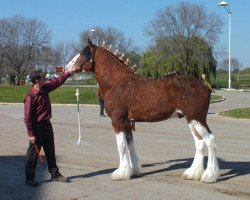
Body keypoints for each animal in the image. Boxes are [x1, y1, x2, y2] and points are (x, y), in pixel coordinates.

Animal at [71, 39, 220, 183]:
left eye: (83, 53)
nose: (68, 67)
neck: (117, 83)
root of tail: (206, 86)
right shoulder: (127, 122)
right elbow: (129, 144)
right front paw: (133, 171)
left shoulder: (117, 121)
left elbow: (121, 145)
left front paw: (120, 173)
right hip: (191, 119)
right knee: (200, 143)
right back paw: (192, 173)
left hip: (197, 118)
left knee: (210, 140)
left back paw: (209, 176)